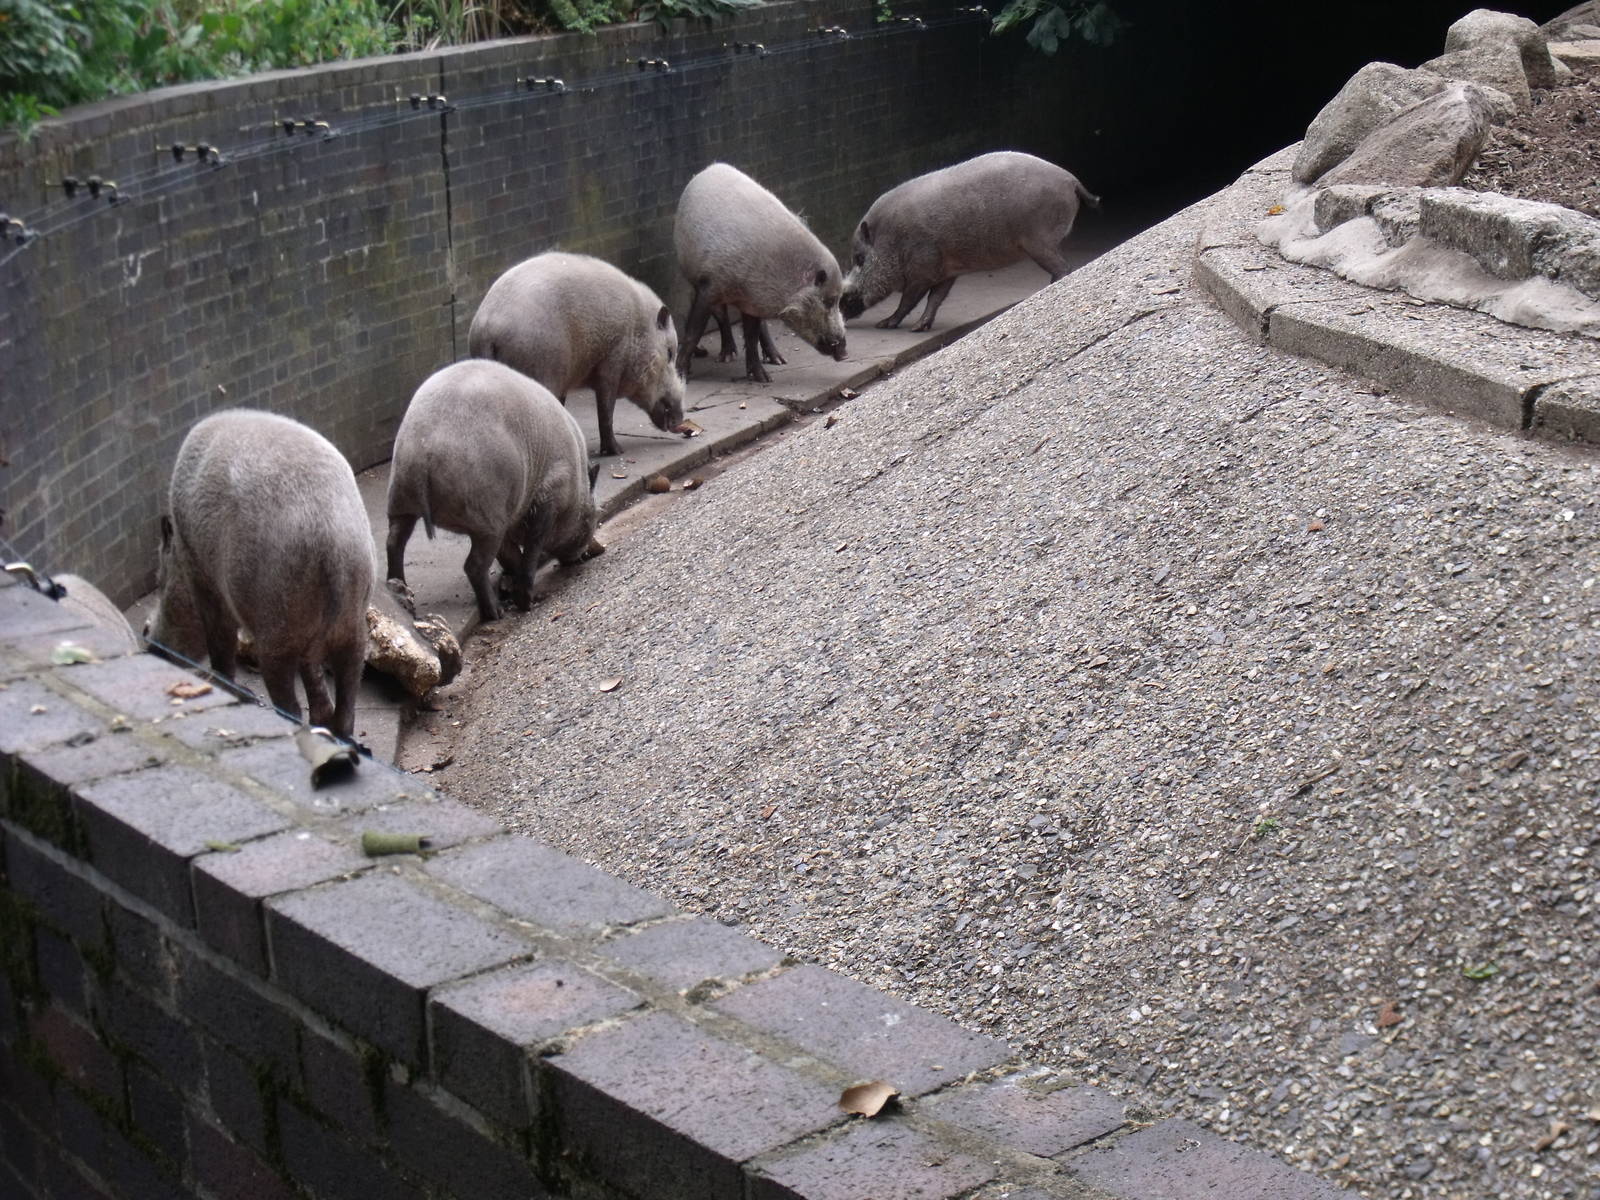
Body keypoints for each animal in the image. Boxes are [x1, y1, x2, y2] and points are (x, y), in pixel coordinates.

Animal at [147, 410, 375, 739]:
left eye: (159, 581)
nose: (151, 645)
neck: (180, 547)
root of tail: (334, 542)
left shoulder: (205, 580)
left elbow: (220, 641)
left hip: (277, 622)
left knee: (290, 703)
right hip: (353, 626)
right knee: (344, 702)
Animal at [386, 359, 598, 624]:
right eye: (594, 516)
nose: (596, 550)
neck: (577, 486)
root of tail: (423, 450)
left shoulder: (510, 516)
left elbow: (511, 554)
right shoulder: (549, 495)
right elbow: (532, 546)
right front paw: (527, 602)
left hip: (400, 495)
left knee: (394, 541)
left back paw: (401, 590)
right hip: (486, 514)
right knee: (474, 565)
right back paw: (495, 612)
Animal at [468, 252, 685, 458]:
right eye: (670, 352)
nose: (681, 419)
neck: (637, 330)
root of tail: (488, 327)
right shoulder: (611, 363)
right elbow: (606, 409)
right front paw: (617, 451)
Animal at [674, 162, 847, 383]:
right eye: (829, 301)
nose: (845, 353)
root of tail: (710, 168)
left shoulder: (751, 301)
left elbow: (751, 336)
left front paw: (764, 379)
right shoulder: (708, 287)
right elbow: (693, 332)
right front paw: (681, 375)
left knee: (760, 328)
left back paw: (778, 360)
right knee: (722, 317)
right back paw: (727, 356)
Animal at [840, 151, 1100, 332]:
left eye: (859, 259)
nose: (839, 303)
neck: (893, 240)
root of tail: (1071, 180)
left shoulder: (922, 269)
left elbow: (909, 300)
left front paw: (885, 324)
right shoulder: (945, 271)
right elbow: (935, 299)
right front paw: (919, 328)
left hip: (1038, 241)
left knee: (1063, 267)